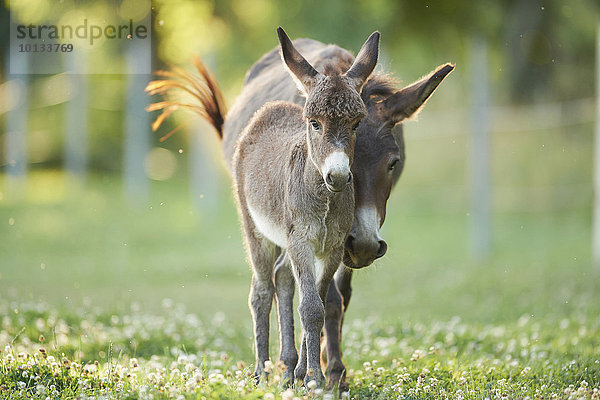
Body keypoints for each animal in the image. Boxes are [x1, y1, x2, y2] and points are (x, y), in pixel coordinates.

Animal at [233, 27, 380, 384]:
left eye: (356, 124)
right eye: (314, 123)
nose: (338, 176)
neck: (324, 199)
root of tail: (270, 109)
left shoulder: (333, 248)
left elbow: (319, 302)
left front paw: (306, 373)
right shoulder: (301, 240)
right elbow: (311, 307)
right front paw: (315, 378)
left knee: (283, 277)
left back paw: (289, 369)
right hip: (255, 229)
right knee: (261, 291)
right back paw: (261, 372)